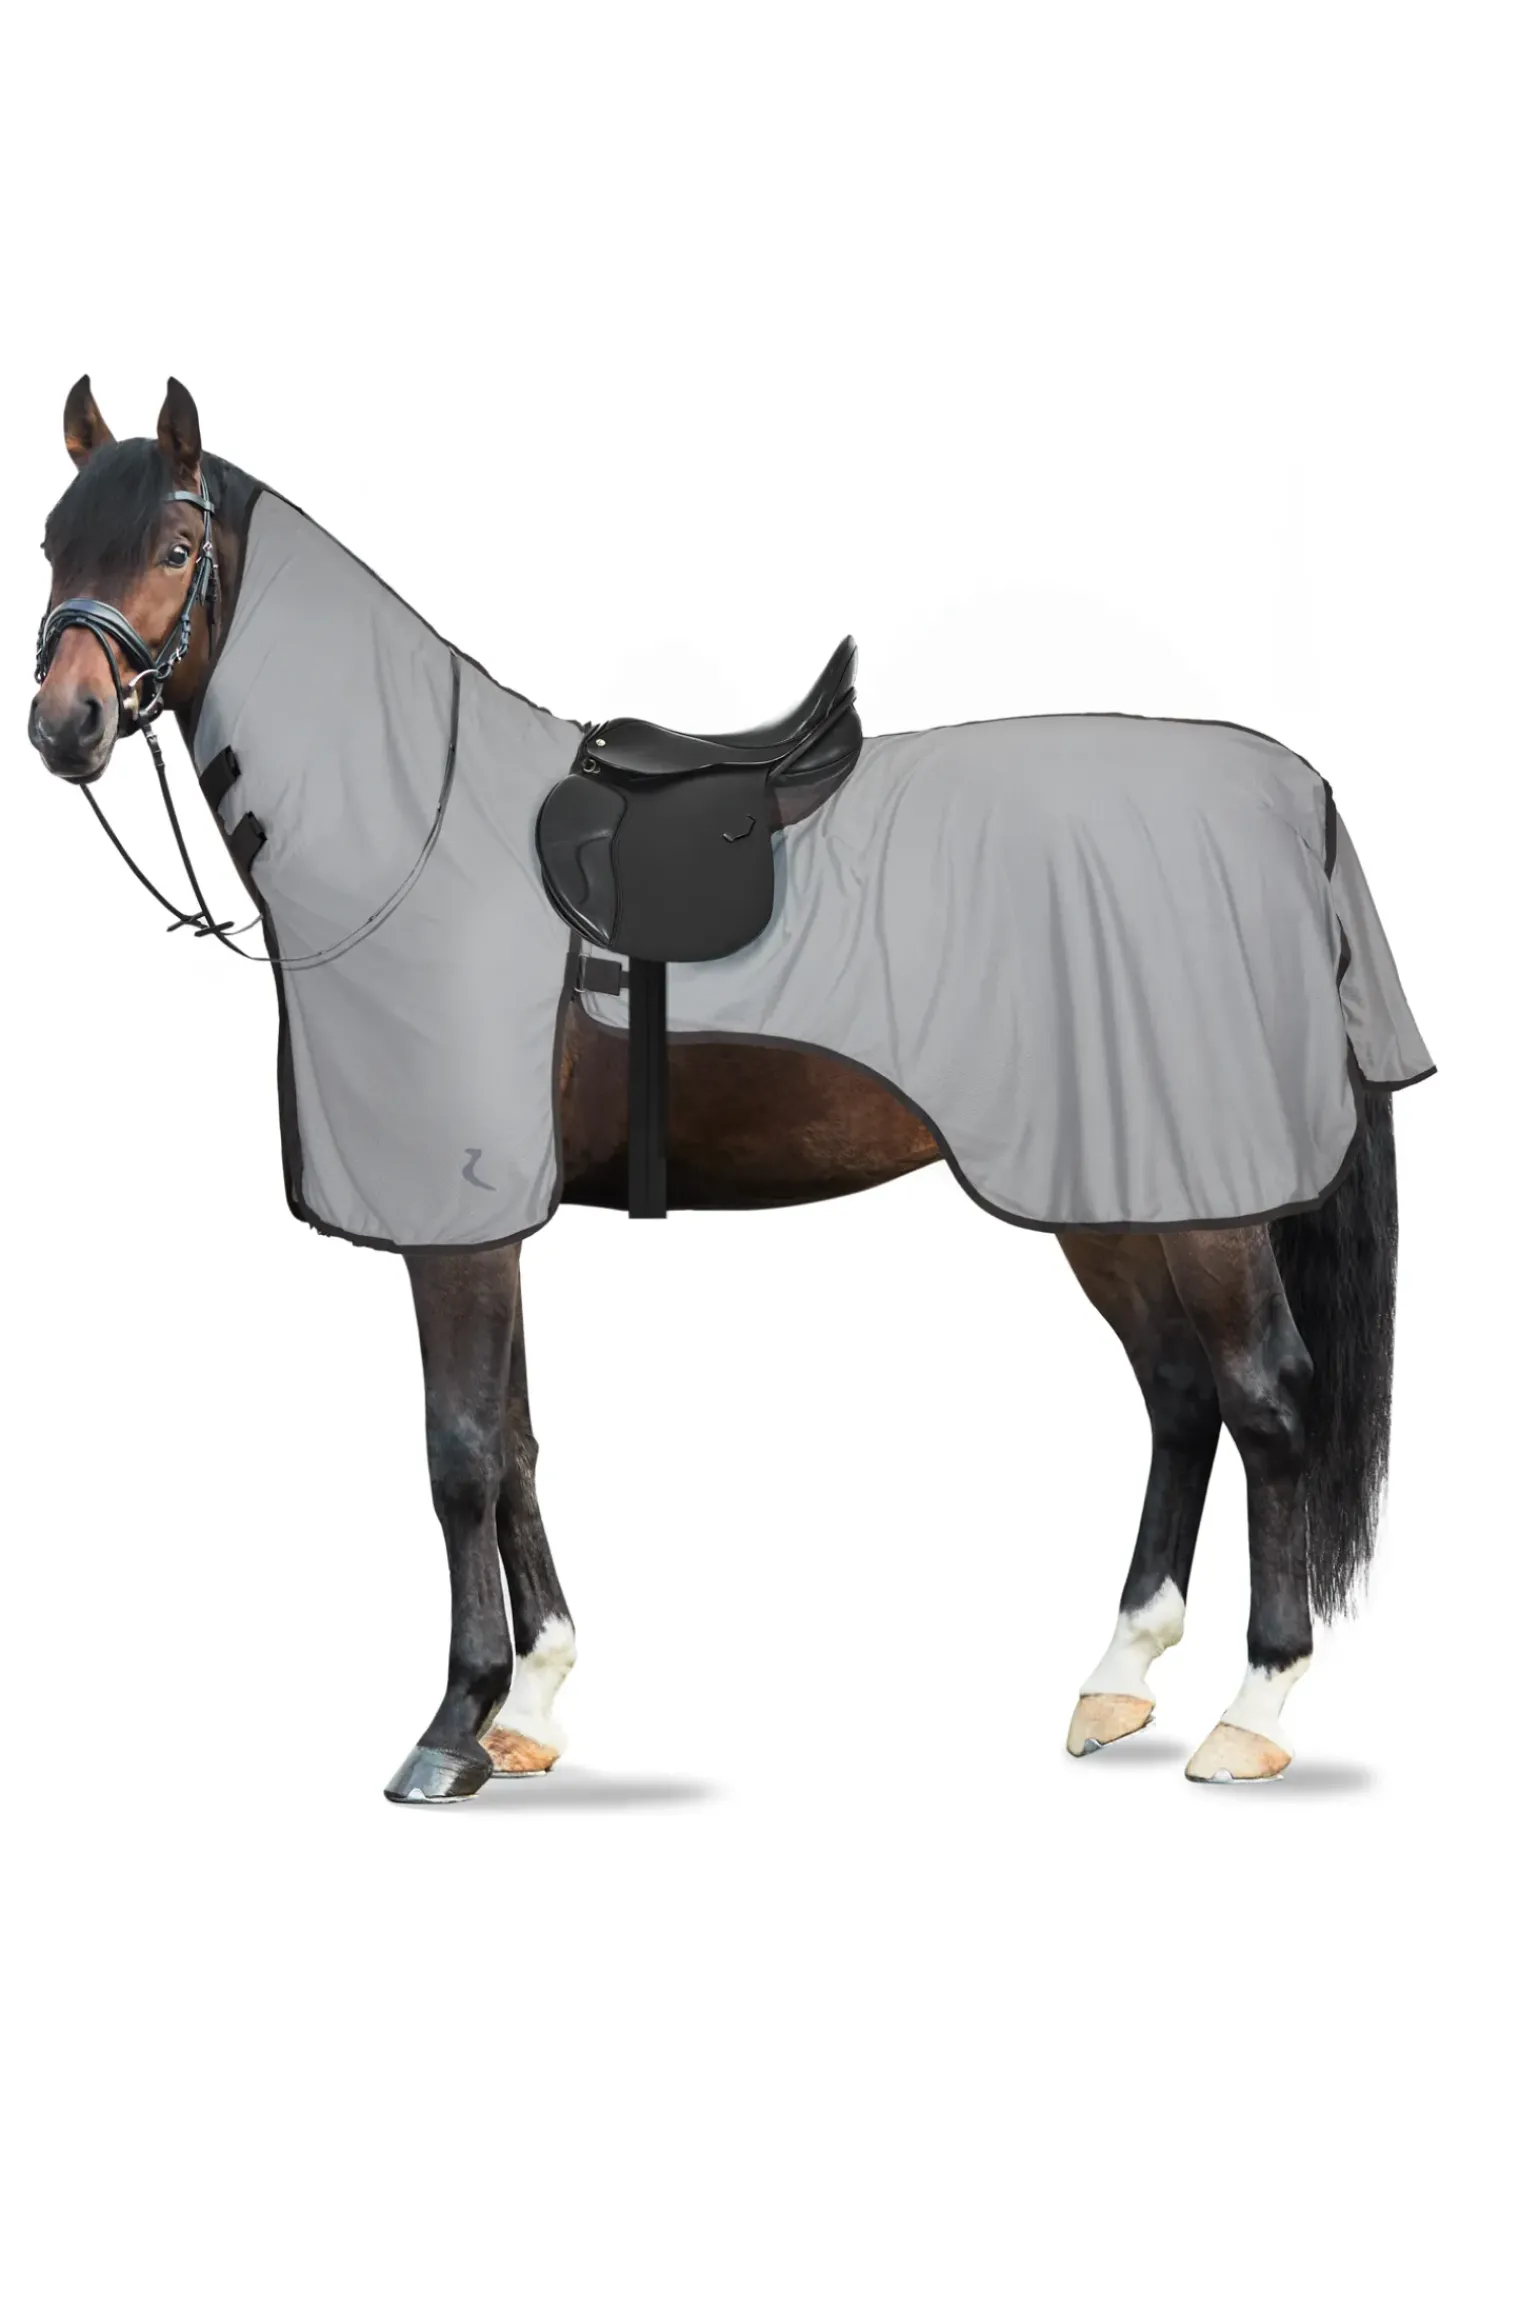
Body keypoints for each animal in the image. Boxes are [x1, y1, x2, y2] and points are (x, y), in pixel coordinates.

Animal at [28, 375, 1430, 1802]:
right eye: (49, 544)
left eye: (174, 549)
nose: (63, 725)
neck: (412, 825)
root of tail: (1300, 802)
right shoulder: (496, 1222)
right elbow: (518, 1444)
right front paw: (533, 1702)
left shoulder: (455, 1222)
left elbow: (459, 1453)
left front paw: (453, 1722)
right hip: (1114, 1188)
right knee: (1180, 1393)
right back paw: (1118, 1677)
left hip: (1205, 1202)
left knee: (1266, 1399)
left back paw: (1252, 1709)